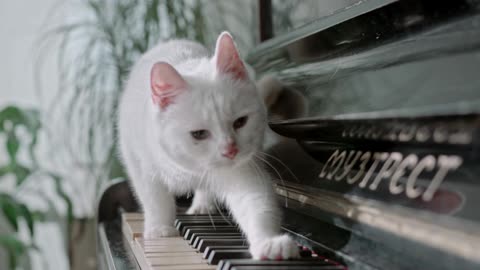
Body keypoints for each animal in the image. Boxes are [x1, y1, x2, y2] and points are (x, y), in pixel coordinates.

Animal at [116, 31, 298, 260]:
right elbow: (155, 199)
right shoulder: (140, 164)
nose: (230, 150)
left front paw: (268, 242)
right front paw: (160, 229)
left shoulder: (244, 172)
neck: (189, 169)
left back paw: (203, 204)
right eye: (199, 134)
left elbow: (256, 204)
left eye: (241, 122)